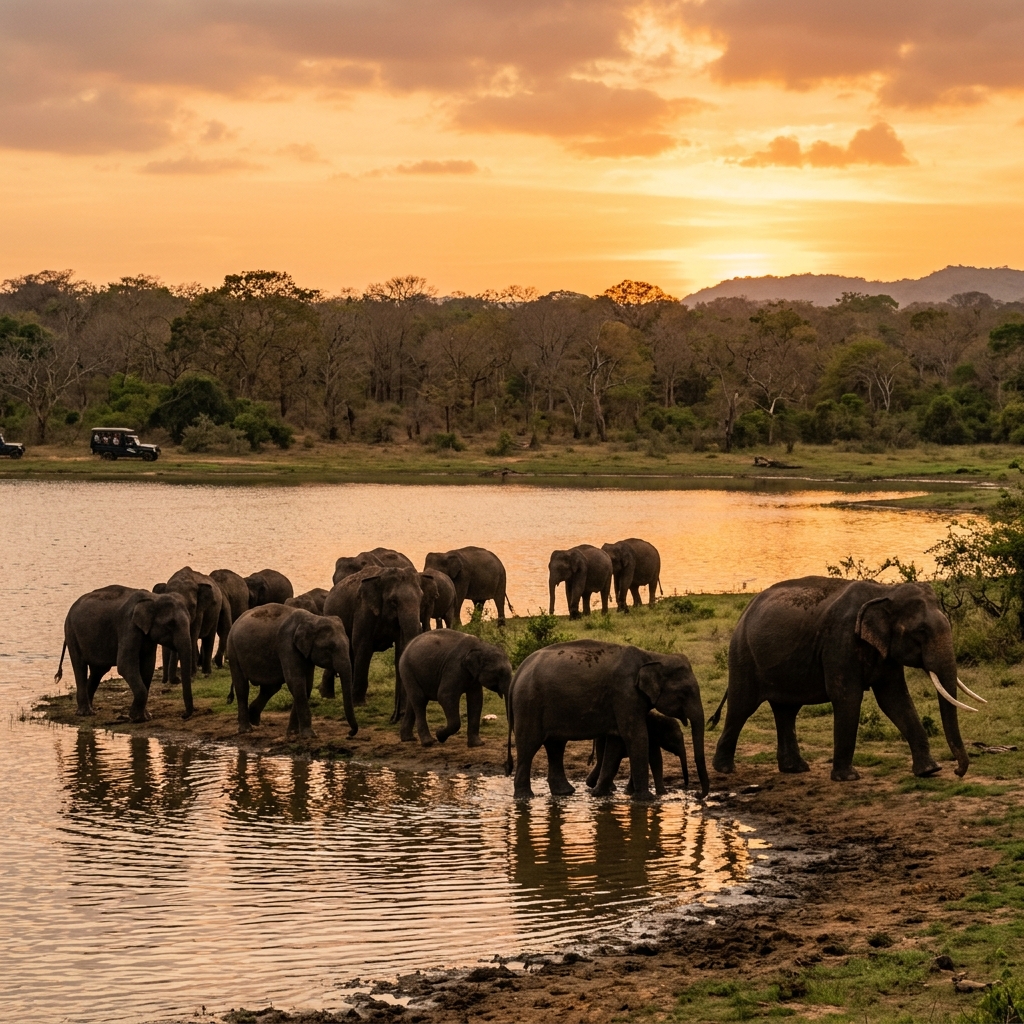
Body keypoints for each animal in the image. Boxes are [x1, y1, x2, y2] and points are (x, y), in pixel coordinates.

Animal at [55, 585, 194, 722]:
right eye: (171, 624)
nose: (183, 716)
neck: (154, 598)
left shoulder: (147, 636)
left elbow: (148, 666)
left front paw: (144, 716)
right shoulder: (128, 626)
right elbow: (125, 665)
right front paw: (136, 718)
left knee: (98, 671)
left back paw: (91, 709)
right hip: (71, 633)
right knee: (80, 666)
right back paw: (85, 713)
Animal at [226, 604, 357, 739]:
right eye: (330, 648)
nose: (349, 734)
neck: (313, 618)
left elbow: (307, 685)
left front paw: (293, 733)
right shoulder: (287, 645)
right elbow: (296, 681)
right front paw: (309, 735)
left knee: (270, 688)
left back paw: (254, 719)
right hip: (232, 650)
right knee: (242, 687)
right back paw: (246, 729)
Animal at [322, 566, 423, 720]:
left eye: (421, 598)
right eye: (393, 601)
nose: (395, 716)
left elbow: (400, 650)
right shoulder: (363, 610)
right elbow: (363, 646)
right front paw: (359, 705)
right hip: (331, 615)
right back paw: (327, 697)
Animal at [506, 640, 709, 800]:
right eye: (685, 693)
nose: (695, 794)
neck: (652, 657)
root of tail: (517, 674)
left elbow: (616, 742)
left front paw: (599, 794)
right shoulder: (625, 693)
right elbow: (636, 736)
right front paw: (646, 799)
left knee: (555, 745)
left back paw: (564, 793)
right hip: (528, 704)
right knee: (529, 745)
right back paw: (525, 797)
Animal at [710, 576, 983, 783]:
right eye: (921, 632)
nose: (958, 771)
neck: (885, 591)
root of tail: (745, 611)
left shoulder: (884, 650)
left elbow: (895, 699)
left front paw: (929, 771)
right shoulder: (840, 641)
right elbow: (847, 698)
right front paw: (848, 778)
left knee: (786, 710)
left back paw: (795, 769)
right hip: (743, 654)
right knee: (742, 706)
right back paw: (724, 769)